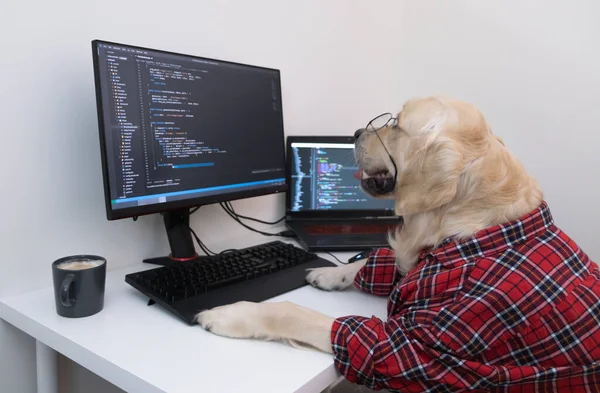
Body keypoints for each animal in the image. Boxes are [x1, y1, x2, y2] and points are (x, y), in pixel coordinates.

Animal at [196, 96, 600, 390]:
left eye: (396, 124)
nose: (356, 131)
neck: (467, 230)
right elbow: (377, 257)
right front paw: (330, 273)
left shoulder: (410, 349)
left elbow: (295, 313)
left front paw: (229, 314)